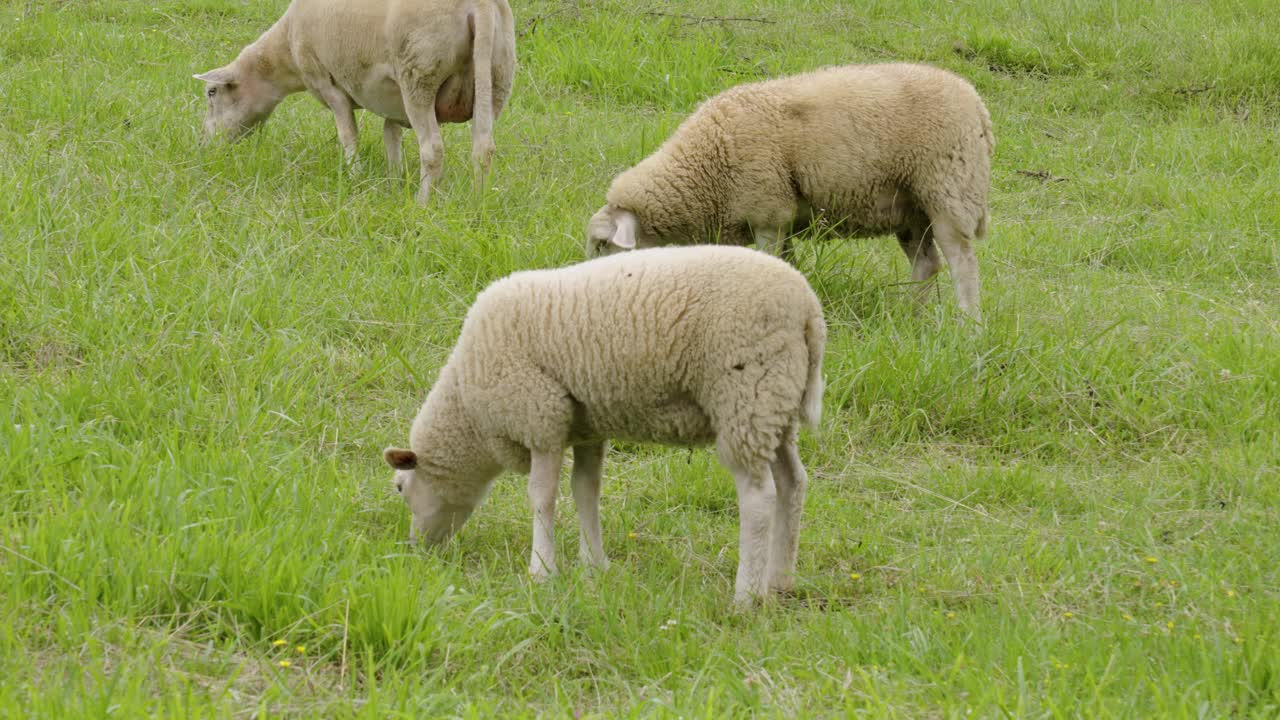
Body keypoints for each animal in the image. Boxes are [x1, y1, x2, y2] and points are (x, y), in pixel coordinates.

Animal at [190, 0, 514, 199]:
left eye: (211, 93)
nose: (204, 147)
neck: (285, 53)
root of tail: (479, 6)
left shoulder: (327, 82)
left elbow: (349, 135)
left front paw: (355, 177)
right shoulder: (392, 104)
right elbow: (391, 137)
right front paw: (393, 180)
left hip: (419, 76)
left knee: (432, 149)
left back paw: (422, 204)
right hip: (496, 77)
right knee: (483, 147)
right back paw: (477, 204)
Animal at [378, 243, 824, 602]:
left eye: (401, 488)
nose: (417, 550)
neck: (468, 411)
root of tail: (808, 310)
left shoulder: (540, 417)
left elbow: (541, 497)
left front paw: (542, 570)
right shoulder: (586, 426)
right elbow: (585, 491)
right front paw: (594, 565)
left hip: (745, 395)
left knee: (758, 497)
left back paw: (746, 595)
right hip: (775, 404)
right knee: (793, 482)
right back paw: (780, 579)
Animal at [586, 61, 993, 319]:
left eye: (603, 244)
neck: (703, 166)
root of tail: (977, 105)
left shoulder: (768, 212)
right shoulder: (774, 220)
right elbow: (788, 264)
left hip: (949, 189)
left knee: (962, 263)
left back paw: (968, 324)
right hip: (909, 210)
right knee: (926, 263)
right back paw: (914, 316)